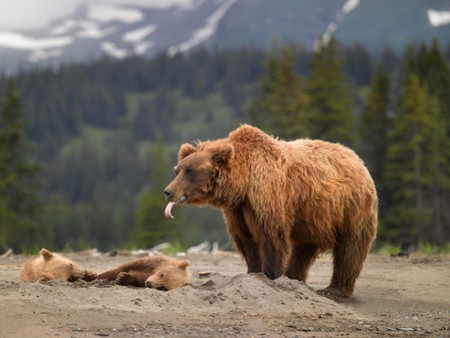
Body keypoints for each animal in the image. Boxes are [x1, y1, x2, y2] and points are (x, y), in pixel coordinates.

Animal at [163, 125, 378, 298]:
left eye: (190, 170)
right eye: (177, 170)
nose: (168, 191)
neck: (244, 182)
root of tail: (357, 159)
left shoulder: (267, 195)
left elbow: (271, 236)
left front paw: (270, 276)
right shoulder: (238, 209)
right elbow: (246, 239)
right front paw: (253, 271)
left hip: (351, 207)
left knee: (350, 247)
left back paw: (335, 289)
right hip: (313, 217)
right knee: (304, 249)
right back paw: (295, 278)